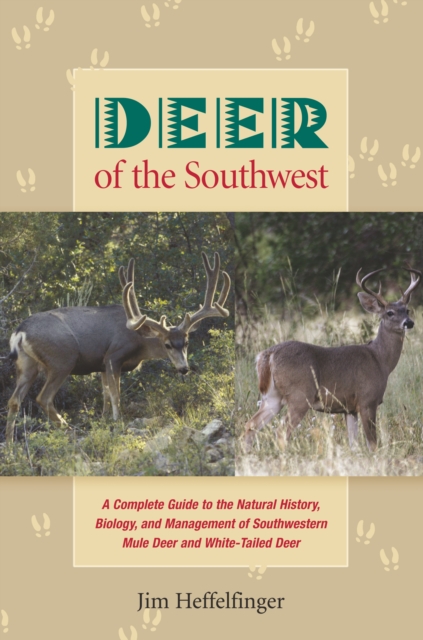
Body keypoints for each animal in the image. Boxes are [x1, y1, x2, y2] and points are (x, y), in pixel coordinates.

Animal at [5, 252, 231, 444]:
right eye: (166, 344)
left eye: (186, 342)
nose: (184, 368)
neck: (140, 340)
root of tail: (20, 332)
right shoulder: (113, 356)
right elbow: (115, 395)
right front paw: (117, 421)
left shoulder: (101, 366)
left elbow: (105, 395)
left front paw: (104, 420)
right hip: (61, 360)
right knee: (43, 398)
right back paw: (68, 429)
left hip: (27, 365)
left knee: (14, 400)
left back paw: (10, 445)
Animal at [244, 266, 421, 452]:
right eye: (389, 312)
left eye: (407, 310)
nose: (409, 323)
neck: (380, 360)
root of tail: (268, 355)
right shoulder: (367, 400)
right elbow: (372, 444)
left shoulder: (349, 408)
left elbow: (353, 445)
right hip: (299, 396)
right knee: (280, 431)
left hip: (272, 397)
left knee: (250, 425)